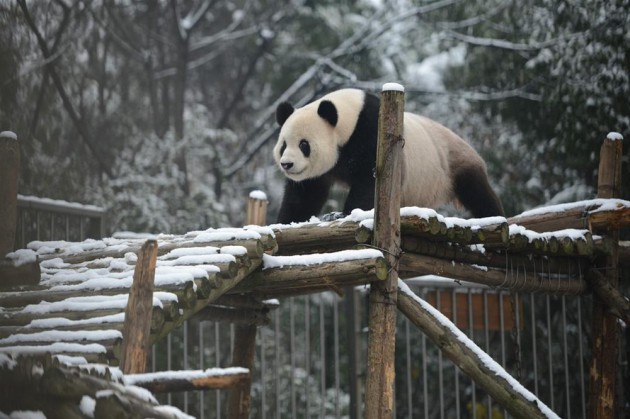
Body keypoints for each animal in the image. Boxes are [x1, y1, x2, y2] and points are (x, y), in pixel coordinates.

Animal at [274, 89, 506, 225]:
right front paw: (286, 222)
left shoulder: (371, 134)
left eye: (304, 145)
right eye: (283, 145)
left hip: (455, 162)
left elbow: (370, 182)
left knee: (477, 192)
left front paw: (342, 214)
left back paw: (494, 216)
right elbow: (304, 195)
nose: (287, 164)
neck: (347, 119)